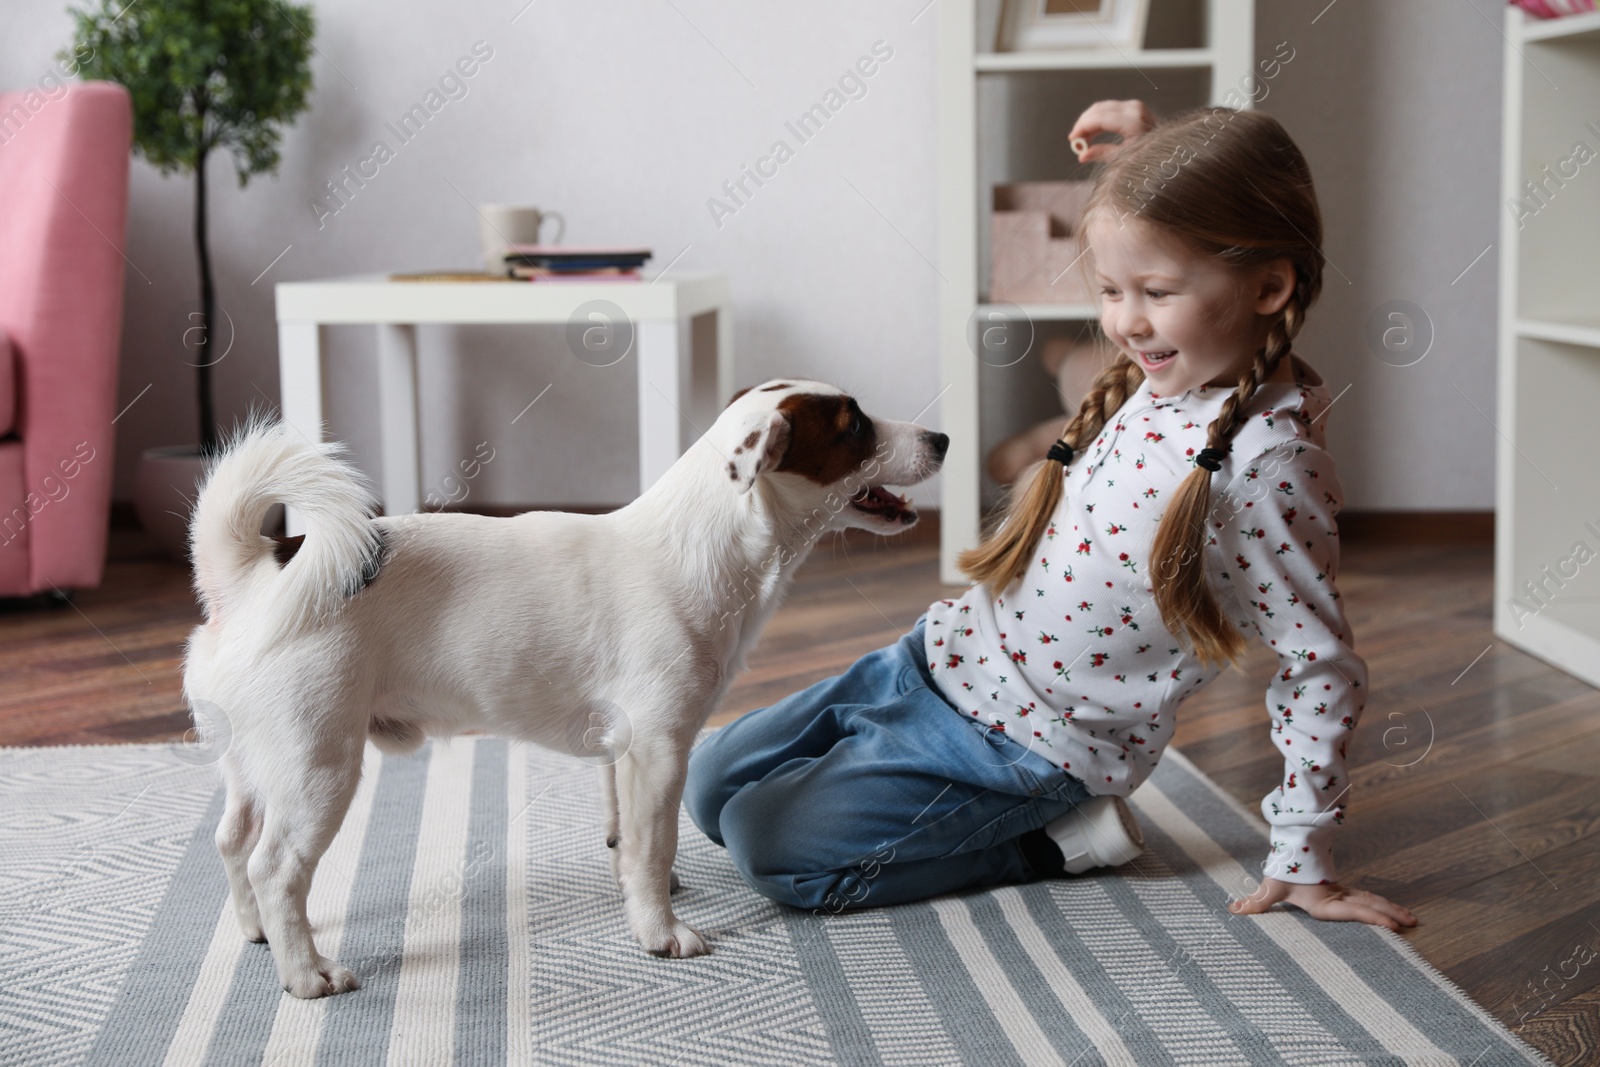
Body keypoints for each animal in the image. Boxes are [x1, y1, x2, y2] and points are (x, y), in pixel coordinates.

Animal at [181, 382, 940, 1004]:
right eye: (854, 427)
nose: (943, 439)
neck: (701, 543)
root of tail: (247, 580)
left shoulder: (623, 751)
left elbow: (627, 837)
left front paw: (641, 891)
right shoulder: (660, 747)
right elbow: (652, 844)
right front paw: (659, 931)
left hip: (255, 764)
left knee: (231, 841)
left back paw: (254, 931)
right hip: (318, 767)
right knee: (276, 868)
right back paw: (306, 972)